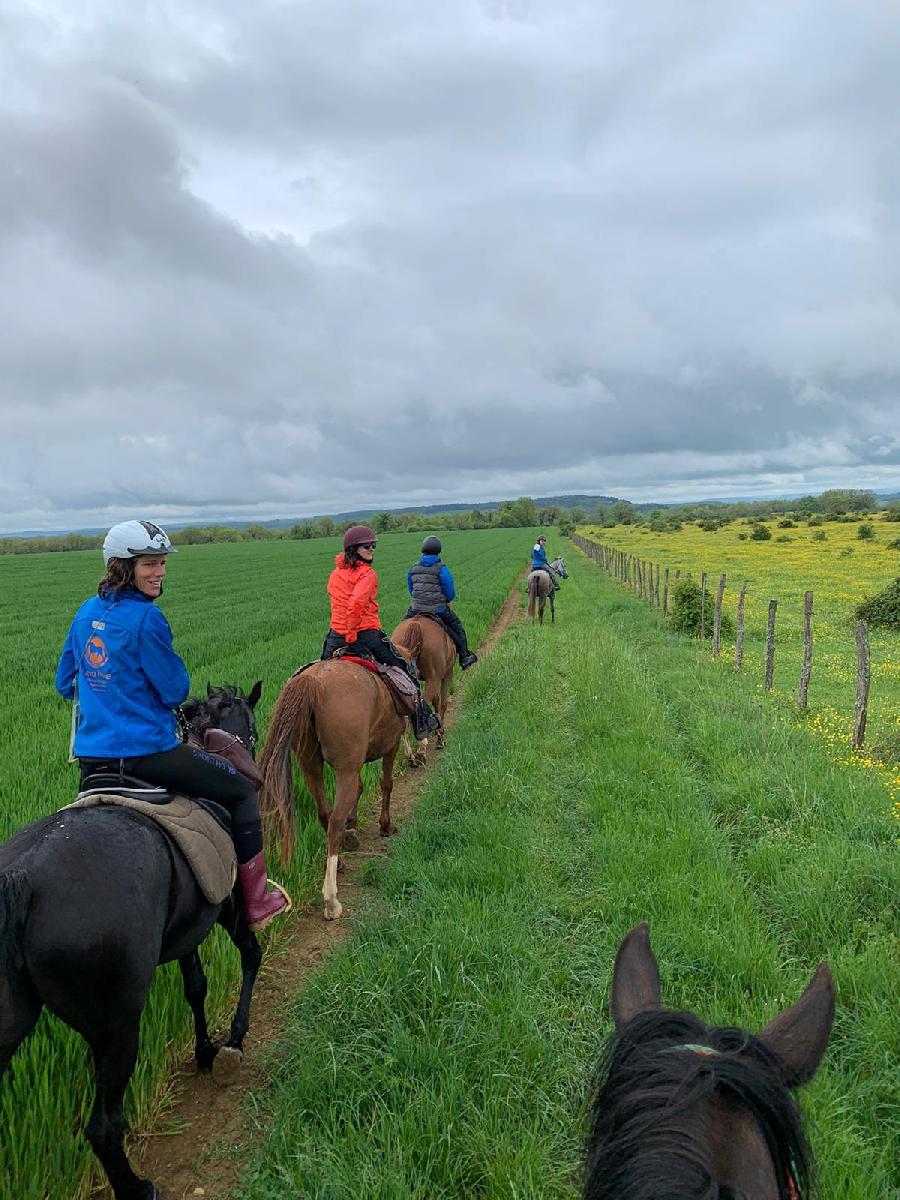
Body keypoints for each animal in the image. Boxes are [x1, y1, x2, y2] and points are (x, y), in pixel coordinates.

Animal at [0, 686, 266, 1200]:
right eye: (252, 726)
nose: (252, 759)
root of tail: (22, 877)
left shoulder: (187, 929)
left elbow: (196, 986)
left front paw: (205, 1050)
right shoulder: (225, 904)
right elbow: (250, 954)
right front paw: (234, 1040)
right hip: (117, 1023)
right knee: (103, 1126)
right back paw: (137, 1188)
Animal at [255, 657, 408, 916]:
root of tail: (314, 682)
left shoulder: (356, 763)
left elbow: (359, 789)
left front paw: (353, 829)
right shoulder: (391, 744)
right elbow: (386, 784)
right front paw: (385, 825)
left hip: (310, 765)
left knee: (325, 814)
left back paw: (339, 864)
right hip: (344, 767)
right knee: (335, 821)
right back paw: (331, 900)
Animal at [393, 614, 458, 763]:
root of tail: (416, 624)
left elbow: (436, 702)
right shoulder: (447, 674)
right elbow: (443, 704)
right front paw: (440, 737)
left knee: (405, 718)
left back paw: (411, 755)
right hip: (434, 678)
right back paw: (421, 750)